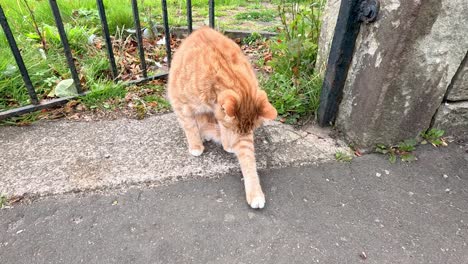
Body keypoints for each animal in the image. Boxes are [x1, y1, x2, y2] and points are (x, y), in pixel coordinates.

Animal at [168, 26, 278, 208]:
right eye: (229, 127)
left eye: (241, 132)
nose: (231, 143)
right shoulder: (180, 103)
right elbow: (190, 127)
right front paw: (196, 146)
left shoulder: (243, 134)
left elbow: (248, 159)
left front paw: (255, 193)